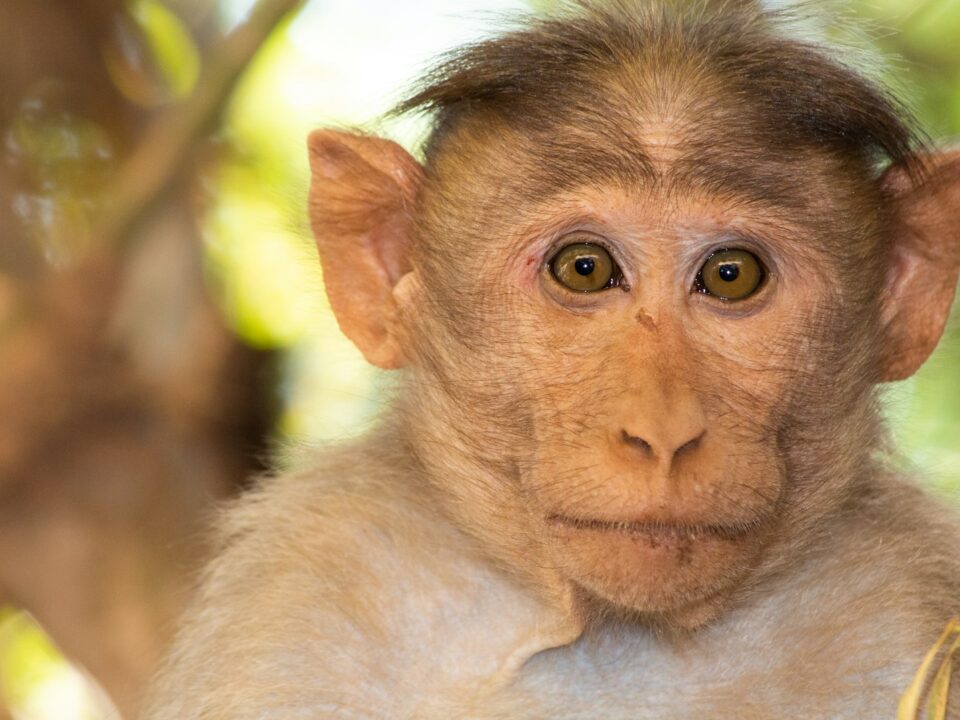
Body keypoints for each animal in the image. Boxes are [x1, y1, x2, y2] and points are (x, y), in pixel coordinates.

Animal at [141, 1, 960, 718]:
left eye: (732, 275)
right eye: (585, 269)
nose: (663, 434)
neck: (618, 635)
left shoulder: (914, 596)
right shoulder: (296, 596)